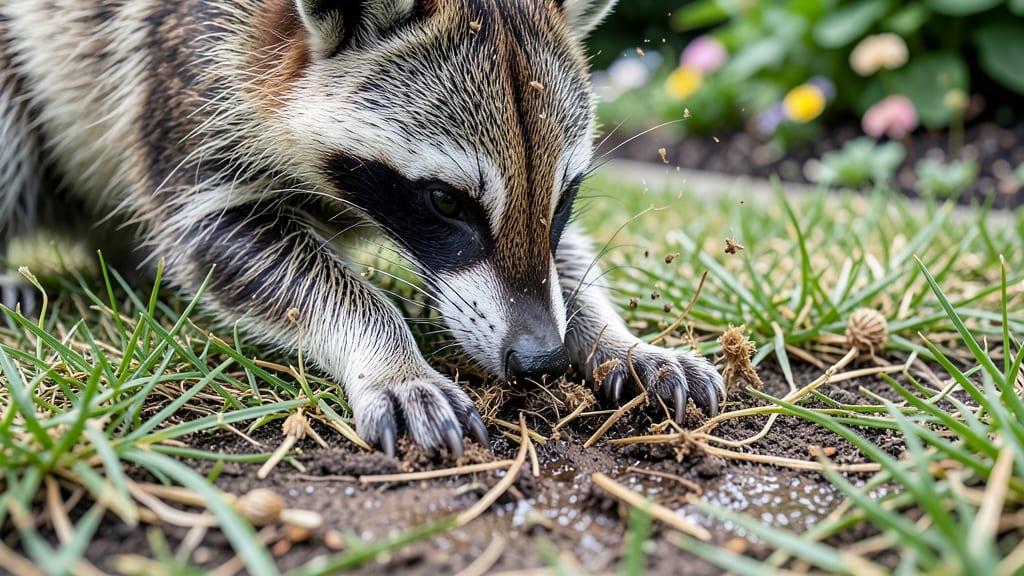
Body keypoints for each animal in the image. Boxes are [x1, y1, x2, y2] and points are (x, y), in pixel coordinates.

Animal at [0, 0, 725, 456]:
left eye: (565, 195)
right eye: (446, 202)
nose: (540, 360)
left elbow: (560, 260)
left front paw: (613, 335)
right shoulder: (185, 84)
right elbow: (216, 236)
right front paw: (389, 355)